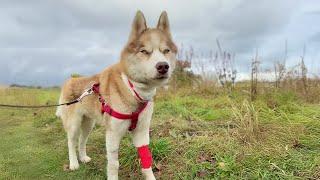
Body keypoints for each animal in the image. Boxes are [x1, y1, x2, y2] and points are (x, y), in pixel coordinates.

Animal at [57, 10, 178, 179]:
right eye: (144, 51)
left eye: (166, 51)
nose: (163, 66)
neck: (133, 90)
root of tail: (71, 80)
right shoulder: (113, 135)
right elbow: (114, 165)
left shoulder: (142, 132)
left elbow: (146, 160)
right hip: (74, 124)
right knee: (71, 142)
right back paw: (74, 163)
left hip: (88, 124)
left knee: (82, 140)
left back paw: (83, 157)